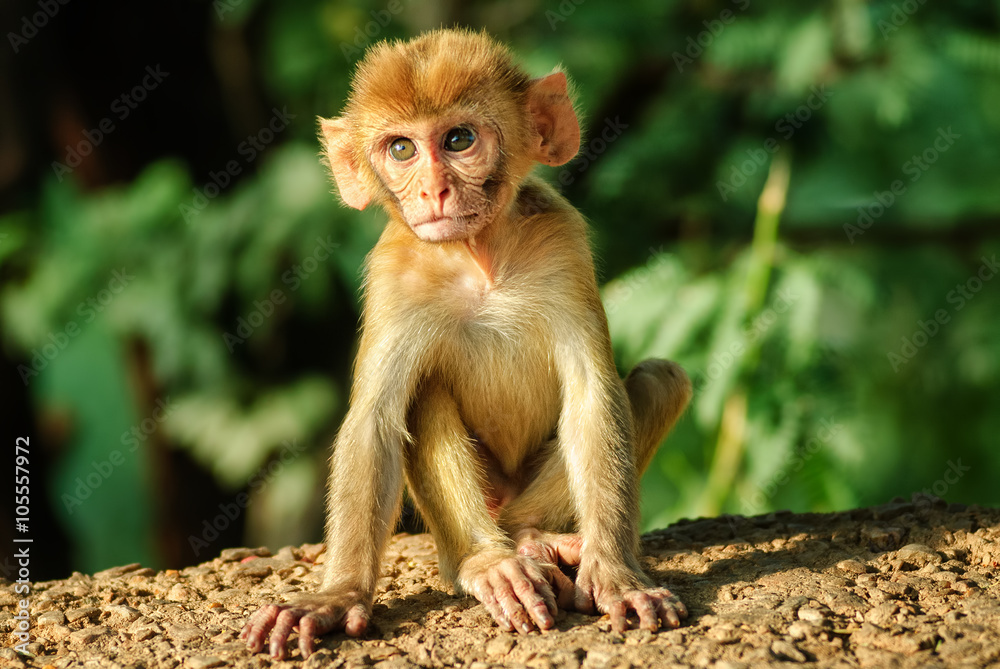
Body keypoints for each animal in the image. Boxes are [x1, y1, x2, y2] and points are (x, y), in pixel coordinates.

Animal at [241, 28, 692, 659]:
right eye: (401, 149)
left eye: (458, 139)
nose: (433, 189)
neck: (478, 255)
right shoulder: (394, 276)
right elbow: (374, 422)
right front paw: (337, 595)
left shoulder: (563, 243)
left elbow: (592, 398)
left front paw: (617, 573)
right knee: (421, 396)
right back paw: (486, 563)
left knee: (658, 380)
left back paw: (532, 540)